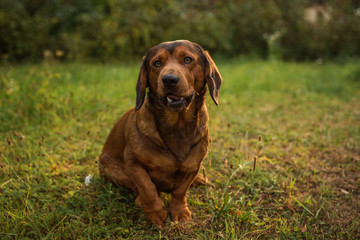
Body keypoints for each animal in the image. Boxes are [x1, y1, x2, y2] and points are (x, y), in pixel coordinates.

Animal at [99, 39, 222, 227]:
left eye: (187, 59)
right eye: (157, 63)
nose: (169, 80)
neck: (177, 126)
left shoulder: (193, 166)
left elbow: (180, 191)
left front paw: (179, 212)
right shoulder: (133, 163)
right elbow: (147, 188)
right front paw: (155, 214)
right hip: (110, 169)